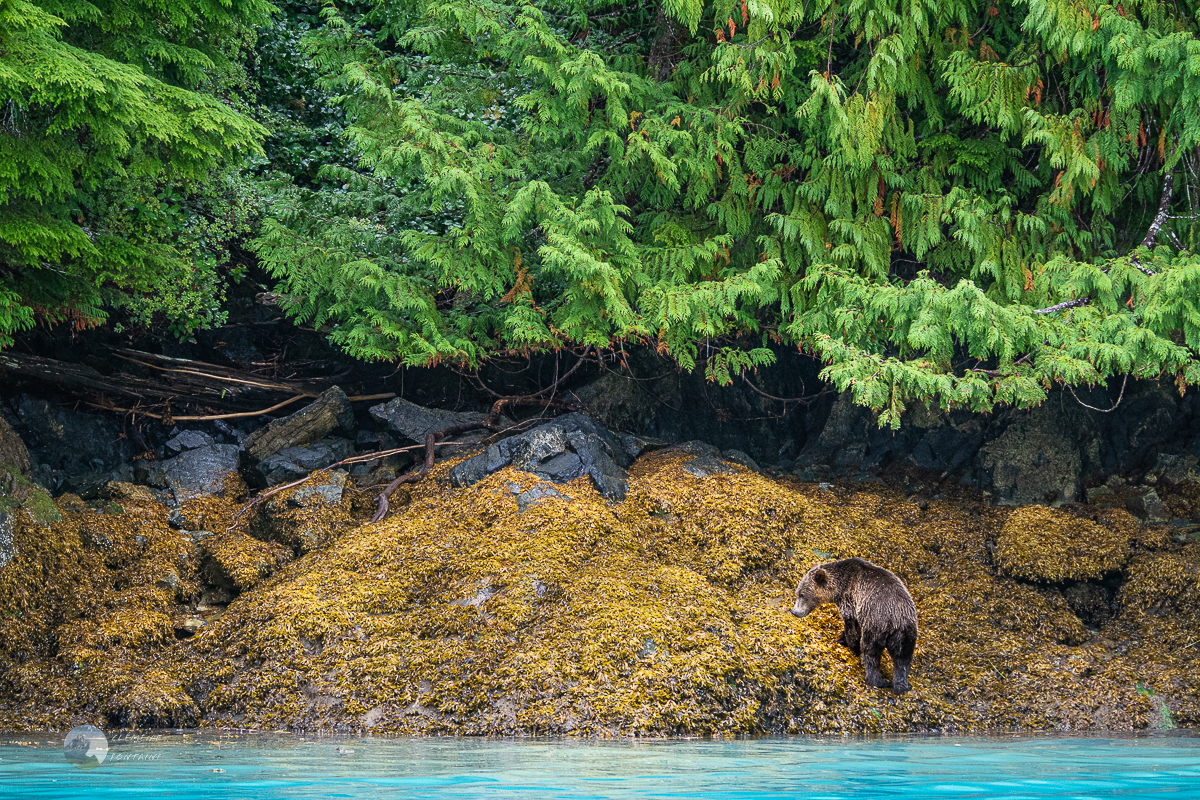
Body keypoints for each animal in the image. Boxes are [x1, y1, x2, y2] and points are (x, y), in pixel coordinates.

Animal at [787, 556, 916, 695]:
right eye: (797, 593)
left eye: (802, 595)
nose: (794, 612)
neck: (838, 587)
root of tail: (895, 619)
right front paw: (841, 639)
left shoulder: (851, 601)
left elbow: (852, 627)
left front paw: (848, 643)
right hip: (905, 633)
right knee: (902, 659)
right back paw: (902, 686)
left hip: (875, 623)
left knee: (870, 651)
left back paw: (876, 680)